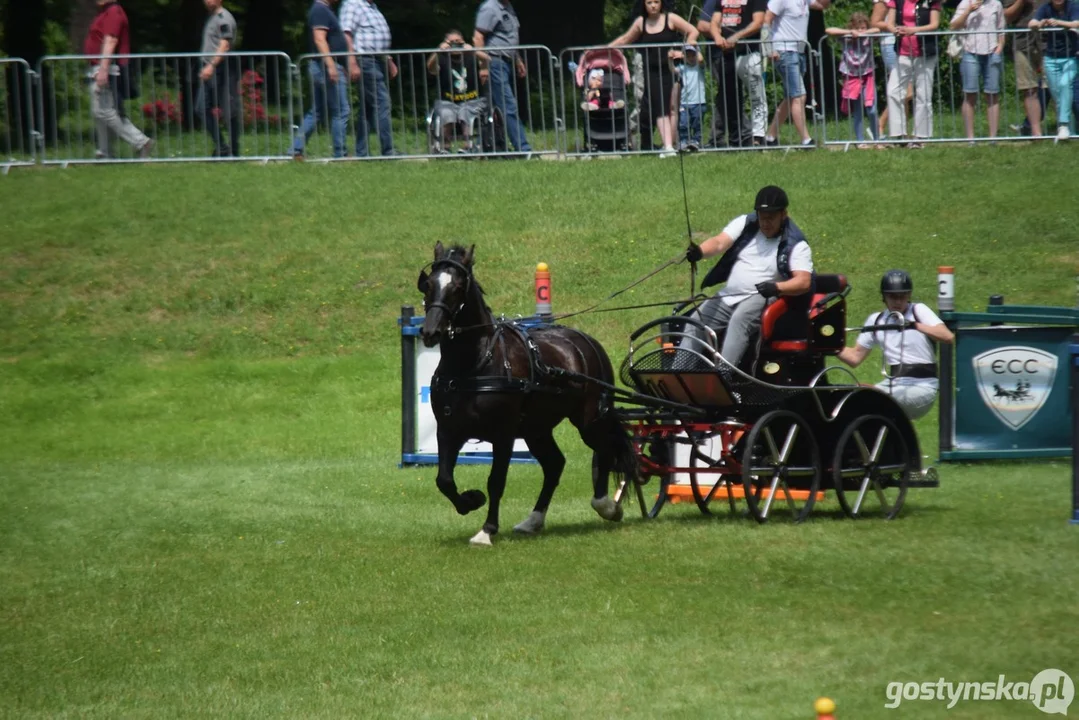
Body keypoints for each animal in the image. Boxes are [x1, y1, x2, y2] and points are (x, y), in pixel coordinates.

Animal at [416, 241, 634, 546]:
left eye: (458, 286)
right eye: (428, 285)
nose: (430, 331)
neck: (473, 364)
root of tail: (586, 341)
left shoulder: (503, 434)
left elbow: (496, 481)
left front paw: (487, 530)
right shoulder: (448, 430)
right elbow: (444, 480)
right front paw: (471, 500)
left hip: (589, 419)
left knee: (603, 449)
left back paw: (606, 505)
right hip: (536, 428)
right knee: (555, 464)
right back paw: (534, 520)